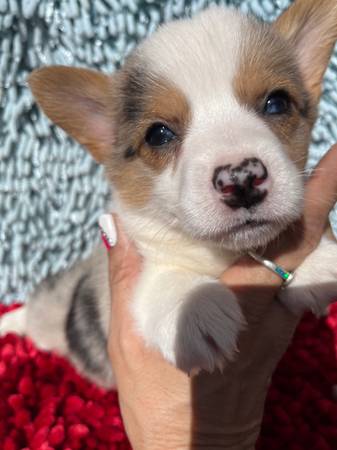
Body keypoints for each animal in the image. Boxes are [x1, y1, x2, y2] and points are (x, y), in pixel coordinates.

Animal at [0, 0, 336, 386]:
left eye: (276, 103)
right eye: (158, 135)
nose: (241, 180)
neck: (220, 256)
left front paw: (317, 259)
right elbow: (164, 276)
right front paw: (192, 303)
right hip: (51, 316)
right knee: (32, 312)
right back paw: (9, 321)